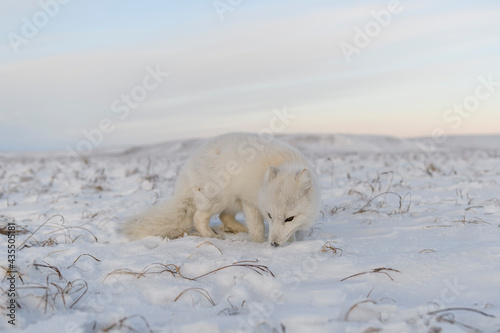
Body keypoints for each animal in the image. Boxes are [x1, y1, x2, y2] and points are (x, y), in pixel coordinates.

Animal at [124, 133, 320, 246]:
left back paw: (240, 228)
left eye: (290, 218)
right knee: (199, 217)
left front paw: (290, 241)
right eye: (270, 215)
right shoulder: (249, 201)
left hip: (231, 201)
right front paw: (258, 243)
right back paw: (212, 236)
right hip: (218, 197)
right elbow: (257, 228)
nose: (274, 244)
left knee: (224, 216)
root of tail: (187, 169)